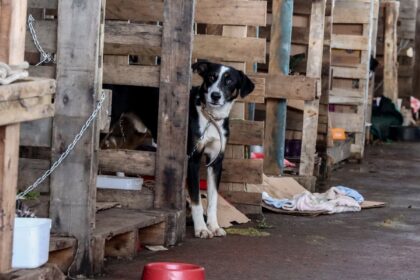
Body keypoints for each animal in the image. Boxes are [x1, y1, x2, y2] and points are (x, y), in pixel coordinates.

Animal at [105, 62, 256, 240]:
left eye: (229, 81)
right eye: (211, 77)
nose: (215, 96)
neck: (211, 118)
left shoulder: (216, 162)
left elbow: (213, 200)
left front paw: (214, 226)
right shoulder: (192, 160)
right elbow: (196, 200)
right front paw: (201, 229)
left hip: (138, 132)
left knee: (120, 151)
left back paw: (122, 181)